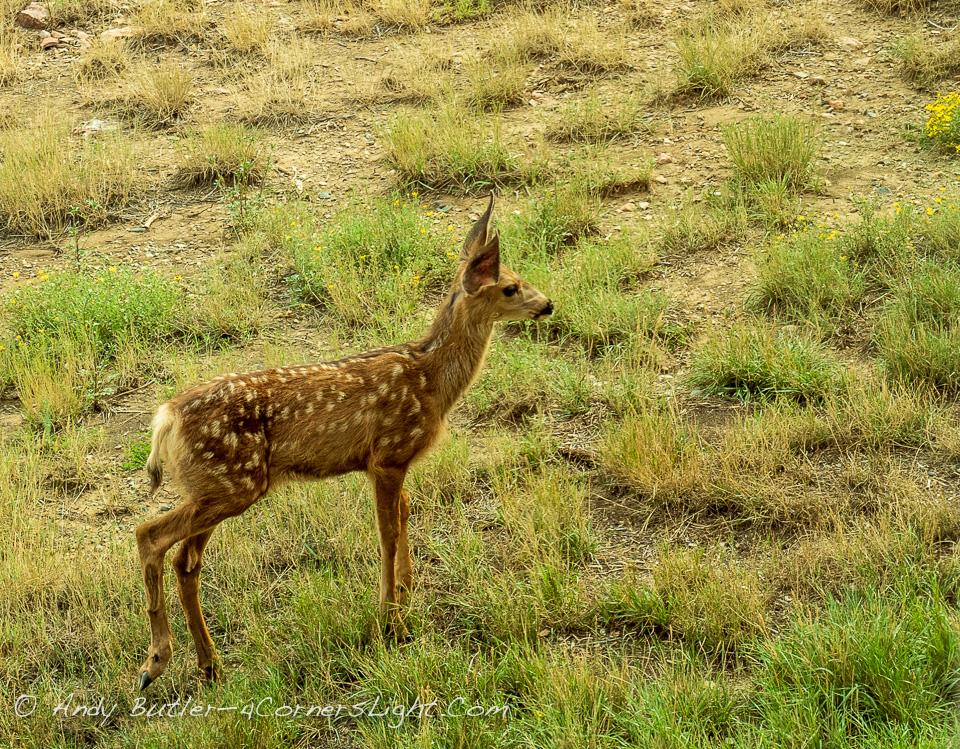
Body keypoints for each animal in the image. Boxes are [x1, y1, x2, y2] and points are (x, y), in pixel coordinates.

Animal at [135, 195, 553, 690]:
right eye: (509, 287)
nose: (548, 304)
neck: (431, 381)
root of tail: (166, 419)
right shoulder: (388, 455)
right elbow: (387, 533)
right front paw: (391, 621)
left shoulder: (396, 461)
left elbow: (405, 514)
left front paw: (406, 594)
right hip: (233, 483)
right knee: (149, 535)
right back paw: (155, 663)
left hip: (218, 486)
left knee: (185, 561)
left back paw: (209, 663)